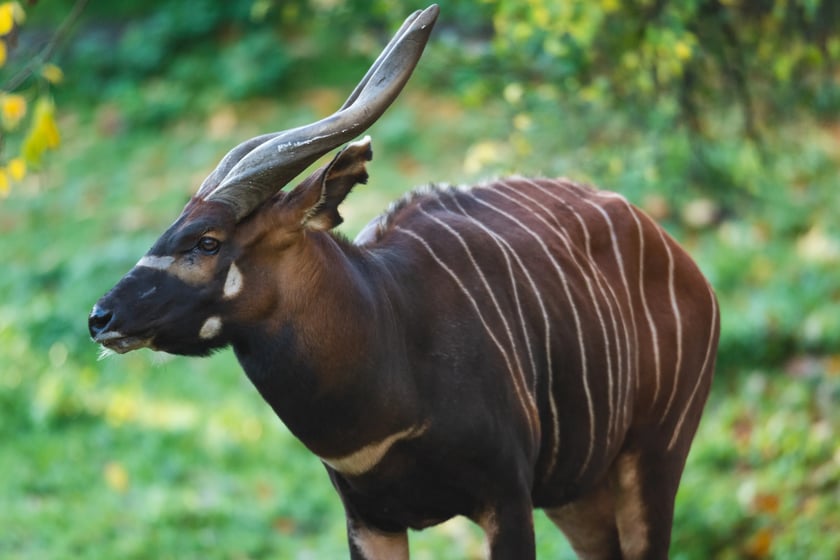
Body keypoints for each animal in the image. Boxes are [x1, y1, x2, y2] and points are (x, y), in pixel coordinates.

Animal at [88, 6, 720, 556]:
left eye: (207, 241)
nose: (101, 318)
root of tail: (682, 260)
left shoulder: (507, 499)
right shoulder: (371, 519)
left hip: (654, 457)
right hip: (578, 490)